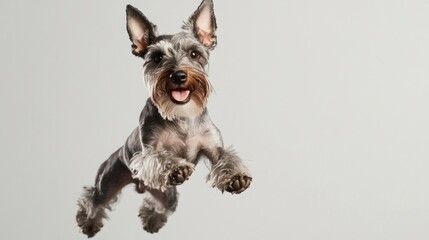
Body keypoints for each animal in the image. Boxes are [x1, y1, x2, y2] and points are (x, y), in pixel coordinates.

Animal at [76, 0, 251, 237]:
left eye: (194, 53)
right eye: (157, 57)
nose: (179, 75)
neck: (182, 116)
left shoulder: (214, 147)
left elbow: (228, 158)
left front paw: (236, 176)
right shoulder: (148, 152)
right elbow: (158, 157)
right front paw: (175, 168)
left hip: (167, 194)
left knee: (158, 205)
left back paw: (152, 221)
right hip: (108, 181)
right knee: (93, 199)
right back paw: (88, 222)